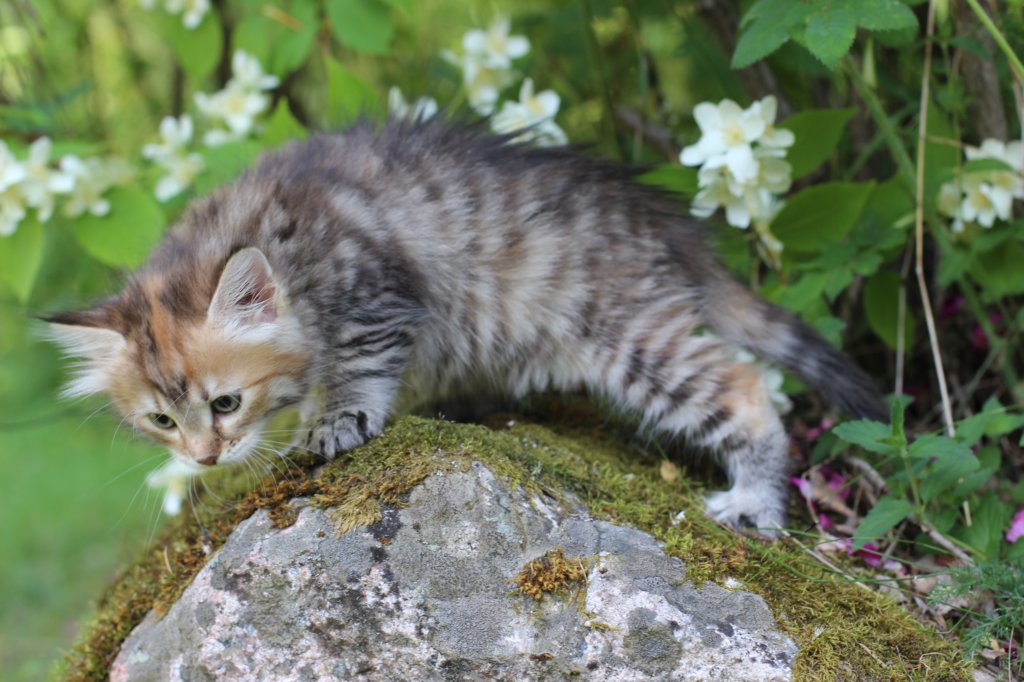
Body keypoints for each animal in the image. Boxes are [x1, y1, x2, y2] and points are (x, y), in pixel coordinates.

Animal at [45, 119, 885, 534]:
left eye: (226, 403)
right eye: (161, 421)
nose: (206, 458)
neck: (277, 240)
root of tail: (664, 225)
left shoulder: (377, 295)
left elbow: (358, 368)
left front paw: (334, 422)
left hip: (631, 334)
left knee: (743, 386)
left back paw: (755, 503)